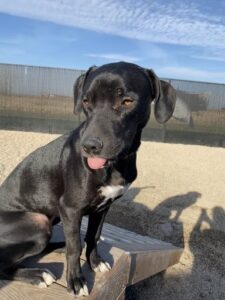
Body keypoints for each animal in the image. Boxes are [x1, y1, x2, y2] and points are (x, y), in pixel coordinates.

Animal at [0, 62, 176, 296]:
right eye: (86, 101)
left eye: (127, 101)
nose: (90, 146)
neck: (115, 164)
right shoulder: (70, 208)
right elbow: (75, 248)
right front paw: (76, 280)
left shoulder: (103, 207)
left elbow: (93, 235)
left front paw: (95, 262)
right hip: (38, 222)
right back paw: (37, 274)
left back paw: (59, 245)